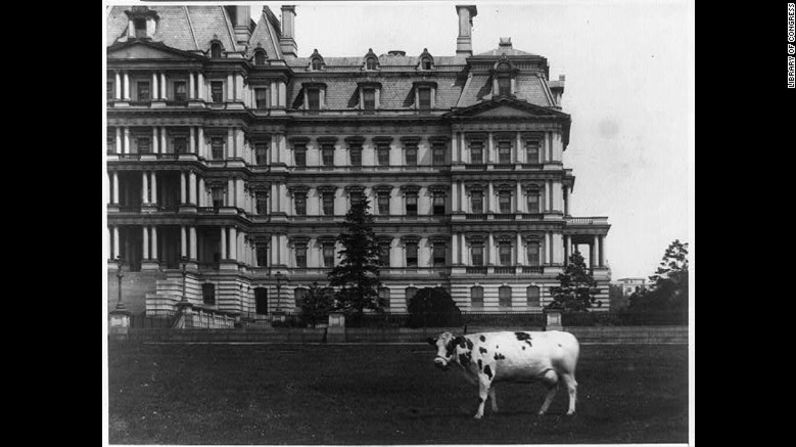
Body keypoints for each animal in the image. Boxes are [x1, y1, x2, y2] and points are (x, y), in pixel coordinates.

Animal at [430, 328, 580, 420]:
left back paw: (570, 411)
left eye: (449, 346)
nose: (437, 362)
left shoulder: (485, 373)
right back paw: (542, 411)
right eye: (436, 346)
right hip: (549, 375)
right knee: (552, 390)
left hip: (567, 371)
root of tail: (569, 335)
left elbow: (482, 397)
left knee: (572, 388)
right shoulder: (490, 377)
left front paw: (478, 414)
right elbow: (491, 394)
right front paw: (494, 411)